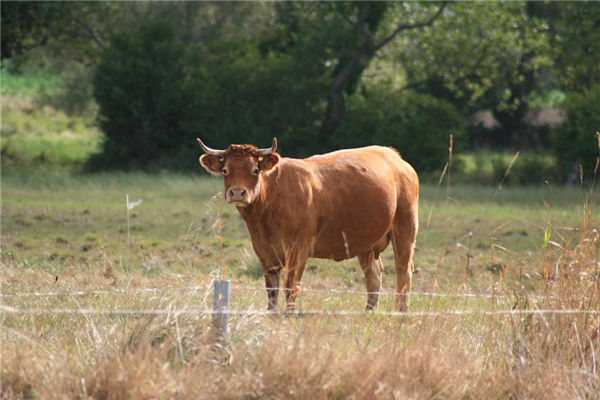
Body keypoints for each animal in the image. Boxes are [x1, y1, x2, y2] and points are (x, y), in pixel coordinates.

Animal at [197, 138, 418, 312]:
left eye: (255, 170)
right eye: (225, 170)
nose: (237, 192)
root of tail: (393, 155)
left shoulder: (298, 248)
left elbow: (290, 286)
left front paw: (289, 315)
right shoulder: (264, 251)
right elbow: (272, 291)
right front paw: (271, 315)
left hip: (405, 227)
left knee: (403, 272)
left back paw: (401, 312)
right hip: (366, 241)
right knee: (374, 275)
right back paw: (369, 311)